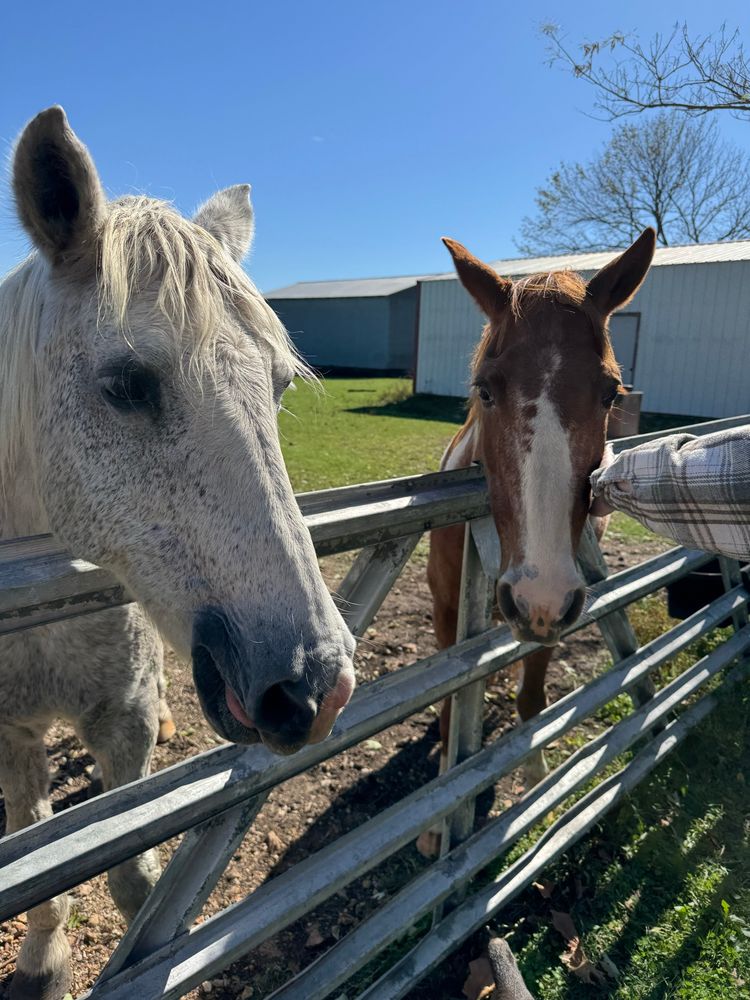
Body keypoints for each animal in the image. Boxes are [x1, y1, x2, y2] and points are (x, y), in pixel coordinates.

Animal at [0, 107, 355, 1000]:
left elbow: (133, 882)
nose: (316, 686)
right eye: (127, 385)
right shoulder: (11, 734)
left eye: (279, 385)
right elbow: (36, 852)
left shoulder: (121, 725)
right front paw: (44, 959)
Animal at [419, 229, 655, 856]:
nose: (537, 592)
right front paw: (434, 827)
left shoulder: (557, 613)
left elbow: (531, 701)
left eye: (611, 394)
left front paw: (535, 780)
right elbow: (449, 702)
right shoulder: (448, 610)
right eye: (485, 390)